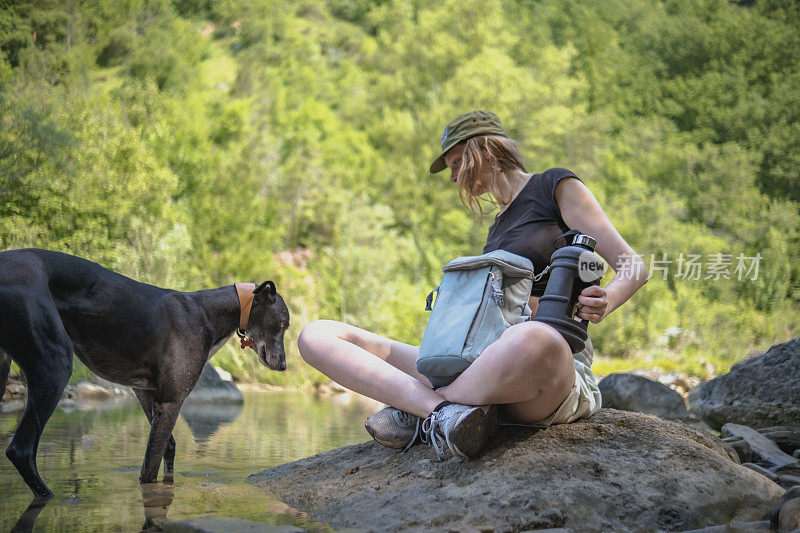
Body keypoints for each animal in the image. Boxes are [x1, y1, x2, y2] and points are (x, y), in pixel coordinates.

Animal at [0, 247, 290, 496]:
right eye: (284, 323)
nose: (284, 365)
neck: (207, 313)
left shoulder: (146, 393)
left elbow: (168, 448)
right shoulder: (171, 400)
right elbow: (149, 470)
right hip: (56, 363)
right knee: (20, 450)